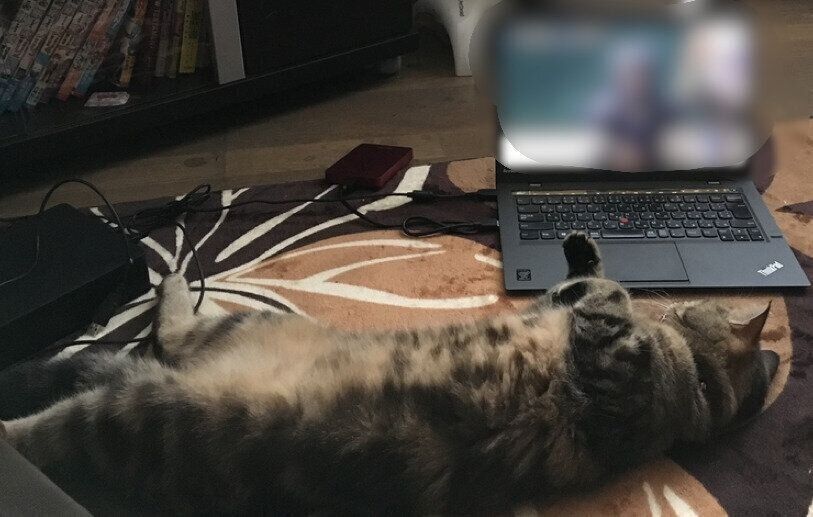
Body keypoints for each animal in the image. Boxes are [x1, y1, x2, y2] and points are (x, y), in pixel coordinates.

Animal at [0, 233, 777, 515]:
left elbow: (604, 289)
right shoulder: (578, 323)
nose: (674, 301)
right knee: (161, 331)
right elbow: (583, 285)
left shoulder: (603, 350)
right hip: (229, 334)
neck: (691, 392)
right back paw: (173, 277)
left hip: (135, 412)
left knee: (54, 419)